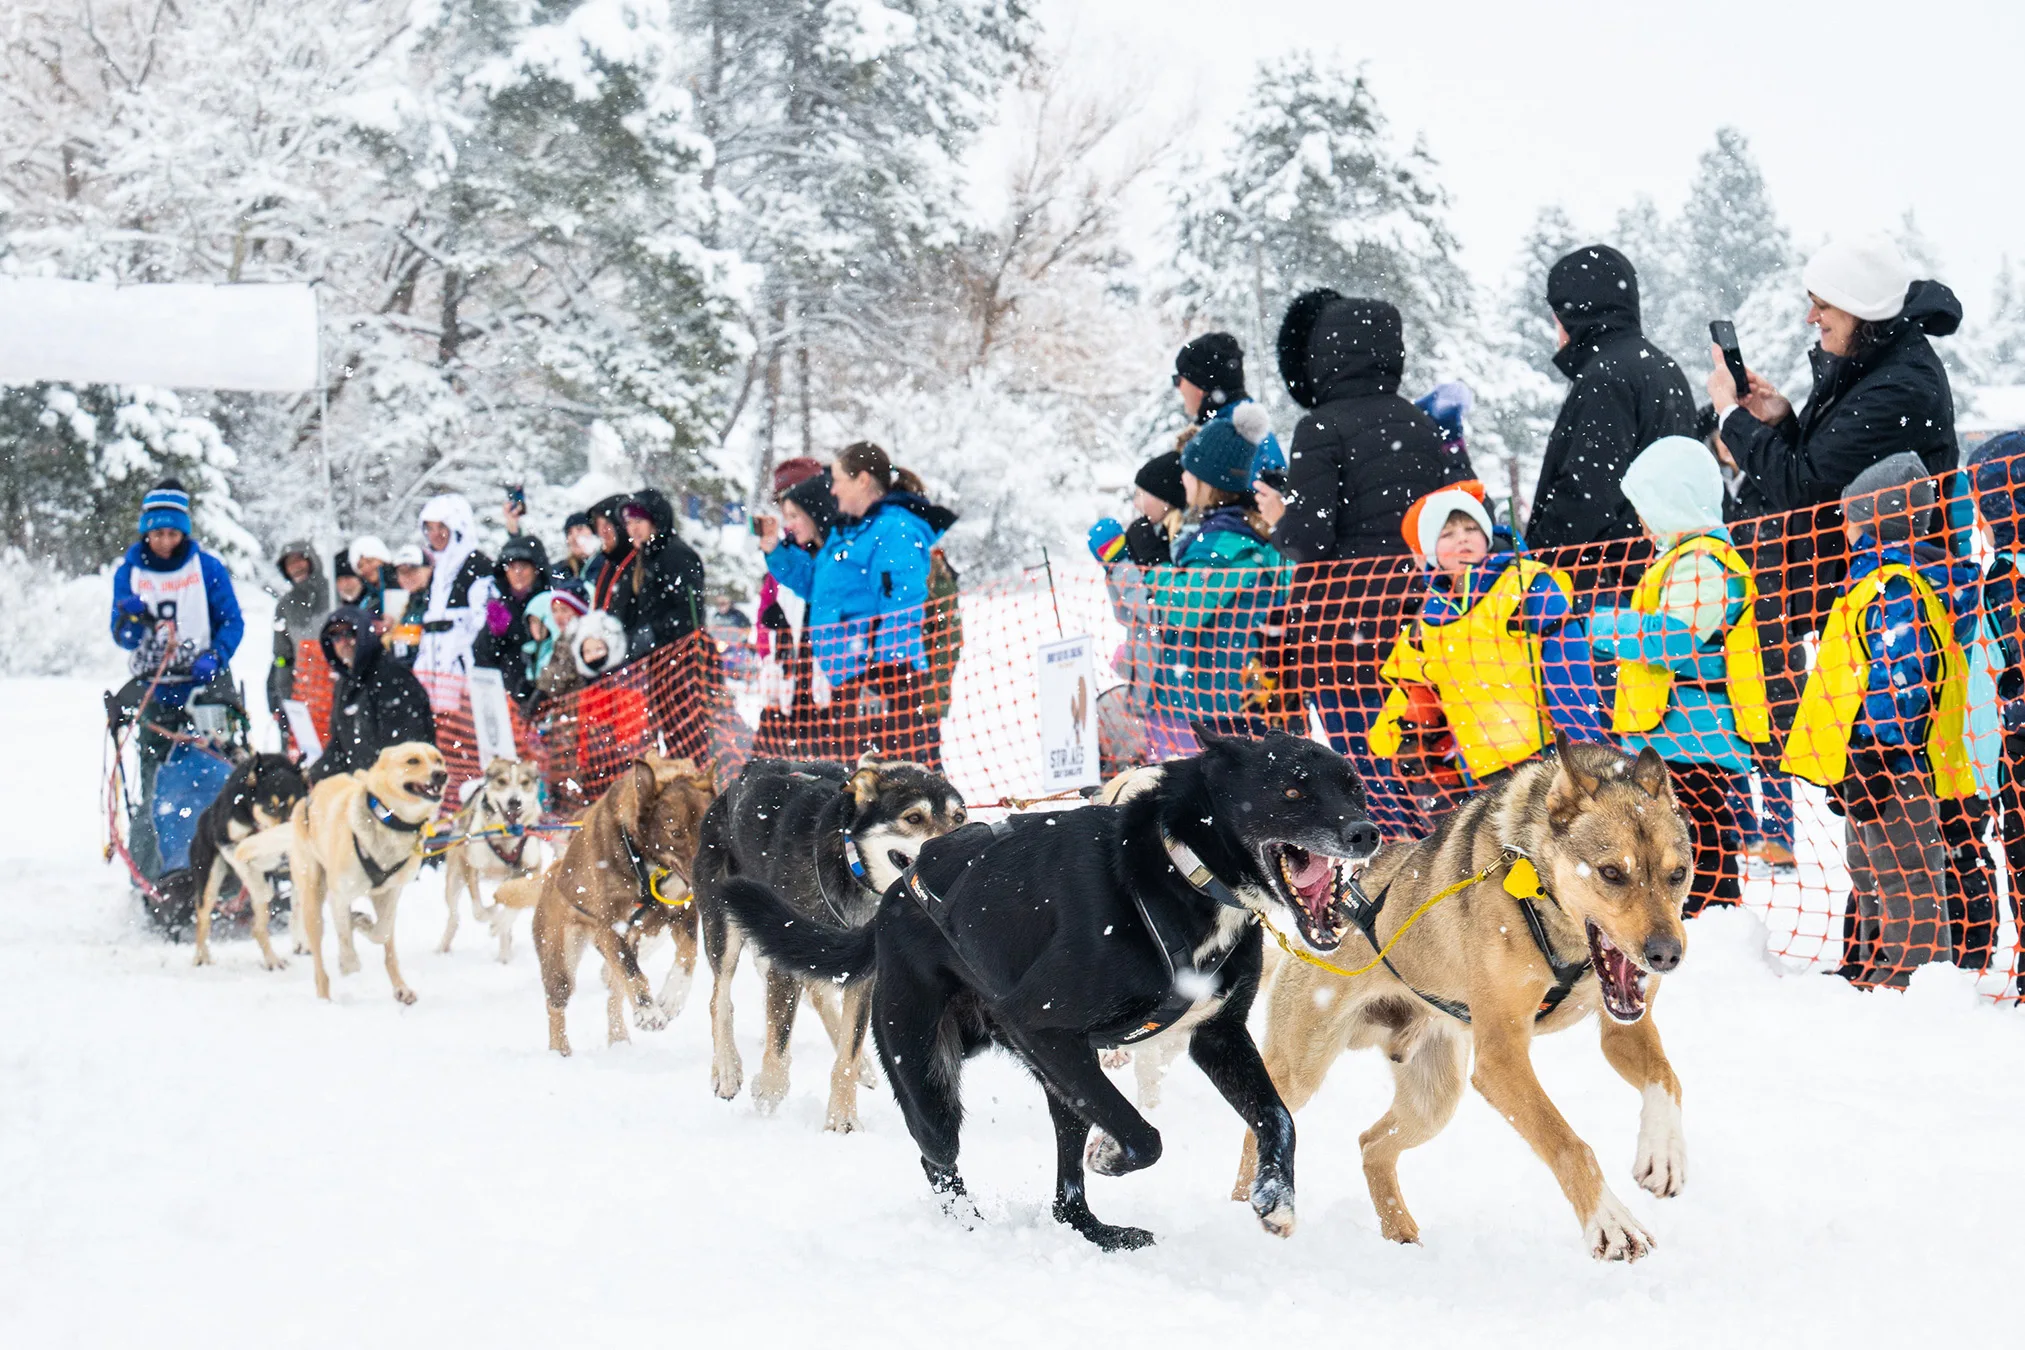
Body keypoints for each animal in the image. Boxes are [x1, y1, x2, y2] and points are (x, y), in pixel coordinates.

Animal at [526, 761, 716, 1052]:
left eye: (706, 828)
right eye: (676, 833)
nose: (706, 876)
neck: (647, 865)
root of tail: (552, 873)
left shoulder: (682, 913)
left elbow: (688, 956)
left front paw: (672, 997)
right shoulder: (611, 927)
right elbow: (632, 974)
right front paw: (648, 1011)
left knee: (614, 993)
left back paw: (619, 1039)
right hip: (560, 961)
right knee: (557, 1005)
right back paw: (560, 1052)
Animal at [692, 761, 967, 1133]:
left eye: (958, 817)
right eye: (913, 818)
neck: (850, 869)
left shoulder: (863, 975)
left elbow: (848, 1051)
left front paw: (843, 1118)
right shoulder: (783, 947)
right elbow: (779, 1036)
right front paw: (770, 1089)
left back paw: (863, 1065)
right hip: (725, 924)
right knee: (719, 999)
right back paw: (727, 1069)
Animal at [720, 732, 1385, 1254]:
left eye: (1354, 788)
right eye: (1293, 791)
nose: (1366, 832)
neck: (1181, 870)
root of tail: (894, 899)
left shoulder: (1217, 1036)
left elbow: (1278, 1117)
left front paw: (1275, 1196)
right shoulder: (1042, 1024)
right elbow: (1144, 1134)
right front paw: (1111, 1155)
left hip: (1060, 1077)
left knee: (1067, 1200)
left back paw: (1101, 1232)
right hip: (934, 1075)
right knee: (936, 1155)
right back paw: (969, 1225)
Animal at [1231, 732, 1692, 1262]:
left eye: (1678, 874)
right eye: (1612, 872)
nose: (1666, 954)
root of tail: (1319, 922)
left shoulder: (1624, 1028)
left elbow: (1667, 1080)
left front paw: (1663, 1154)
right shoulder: (1501, 1057)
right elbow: (1568, 1142)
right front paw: (1611, 1222)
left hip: (1434, 1097)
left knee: (1371, 1143)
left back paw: (1400, 1233)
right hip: (1300, 1065)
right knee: (1260, 1127)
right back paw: (1248, 1212)